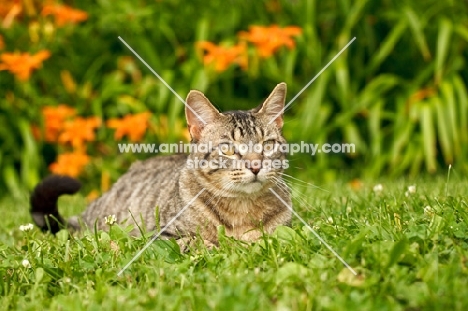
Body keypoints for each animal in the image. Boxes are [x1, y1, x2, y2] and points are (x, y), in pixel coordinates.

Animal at [29, 82, 292, 249]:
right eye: (227, 148)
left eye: (267, 144)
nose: (255, 165)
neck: (242, 210)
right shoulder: (162, 235)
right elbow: (196, 241)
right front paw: (216, 246)